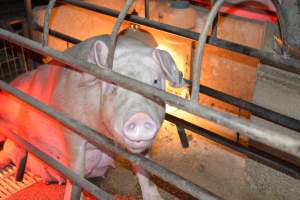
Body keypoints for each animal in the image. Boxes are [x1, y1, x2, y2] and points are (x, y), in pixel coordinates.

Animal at [0, 33, 184, 199]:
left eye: (155, 82)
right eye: (113, 83)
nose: (139, 117)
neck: (103, 134)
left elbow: (145, 173)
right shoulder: (71, 128)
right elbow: (76, 174)